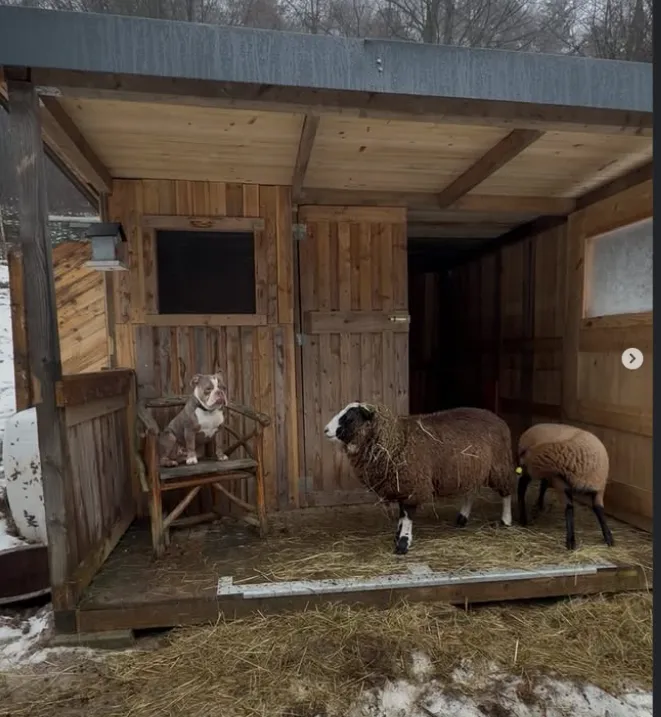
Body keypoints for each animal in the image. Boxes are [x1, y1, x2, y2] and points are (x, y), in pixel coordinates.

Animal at [323, 402, 517, 555]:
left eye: (349, 417)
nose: (325, 430)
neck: (395, 440)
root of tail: (496, 417)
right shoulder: (402, 486)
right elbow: (402, 513)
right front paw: (398, 536)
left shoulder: (413, 485)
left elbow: (407, 515)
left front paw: (403, 543)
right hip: (472, 470)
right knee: (471, 492)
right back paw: (462, 518)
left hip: (499, 466)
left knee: (506, 492)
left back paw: (506, 520)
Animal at [516, 422, 614, 550]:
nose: (519, 467)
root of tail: (533, 427)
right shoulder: (561, 484)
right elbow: (569, 508)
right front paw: (571, 541)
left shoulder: (599, 488)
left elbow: (599, 510)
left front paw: (608, 537)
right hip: (540, 476)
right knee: (522, 487)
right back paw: (523, 518)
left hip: (545, 475)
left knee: (542, 485)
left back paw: (539, 505)